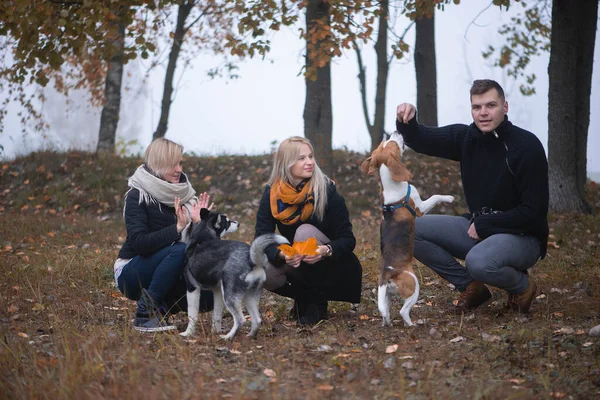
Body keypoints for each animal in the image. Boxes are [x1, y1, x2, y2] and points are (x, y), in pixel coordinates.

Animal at [180, 208, 288, 340]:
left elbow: (192, 316)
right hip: (249, 296)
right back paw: (250, 336)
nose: (238, 223)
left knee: (240, 319)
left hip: (230, 296)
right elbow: (217, 316)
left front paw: (188, 333)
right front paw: (215, 332)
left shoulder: (192, 288)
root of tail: (251, 259)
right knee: (257, 320)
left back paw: (228, 337)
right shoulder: (217, 291)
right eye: (227, 222)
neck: (202, 239)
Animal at [360, 133, 454, 326]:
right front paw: (448, 198)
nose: (396, 131)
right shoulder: (420, 208)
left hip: (386, 296)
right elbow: (435, 196)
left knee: (385, 312)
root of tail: (388, 275)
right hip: (414, 286)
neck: (392, 186)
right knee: (403, 311)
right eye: (394, 143)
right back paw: (412, 324)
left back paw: (387, 323)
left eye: (385, 142)